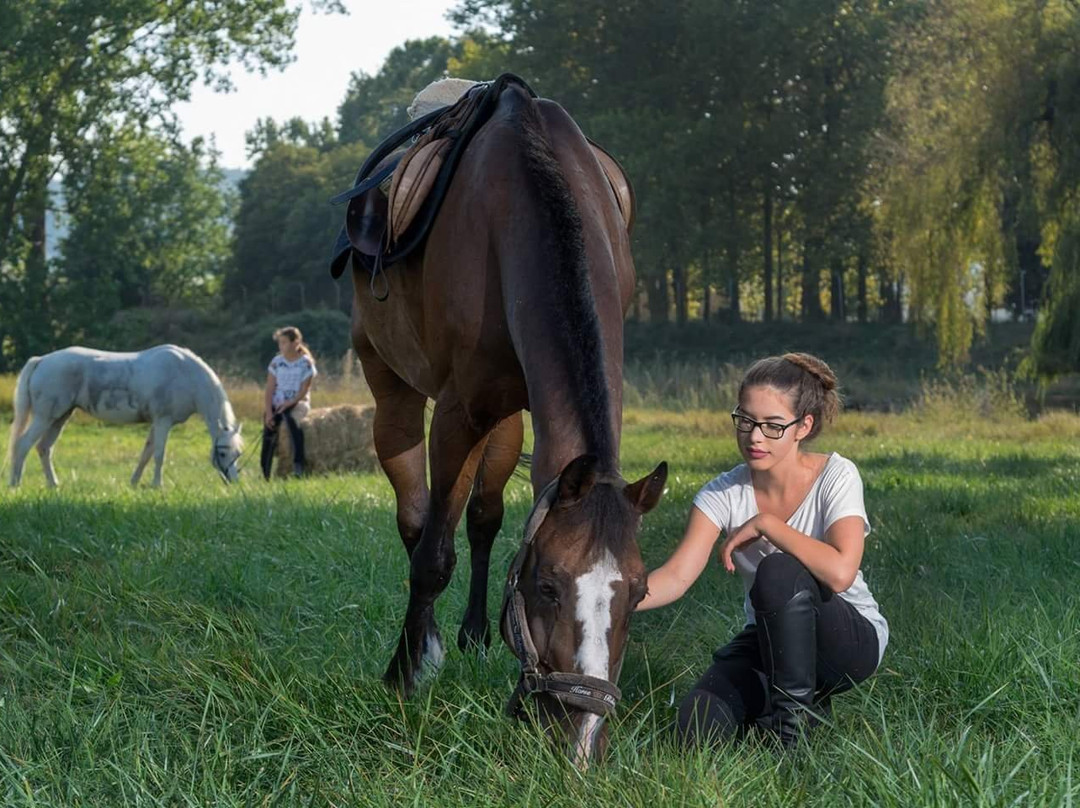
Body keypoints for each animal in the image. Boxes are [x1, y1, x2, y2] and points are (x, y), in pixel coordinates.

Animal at [6, 345, 244, 488]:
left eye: (238, 453)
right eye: (222, 453)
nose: (233, 481)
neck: (185, 375)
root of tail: (42, 360)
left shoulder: (155, 424)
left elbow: (146, 453)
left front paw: (134, 482)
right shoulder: (163, 421)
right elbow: (159, 454)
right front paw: (157, 485)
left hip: (60, 417)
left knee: (44, 448)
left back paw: (53, 484)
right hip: (44, 417)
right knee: (23, 444)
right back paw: (15, 484)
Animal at [345, 77, 665, 764]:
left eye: (639, 591)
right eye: (547, 586)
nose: (583, 738)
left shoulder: (507, 407)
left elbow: (482, 521)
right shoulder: (459, 411)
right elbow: (432, 554)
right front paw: (404, 674)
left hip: (509, 415)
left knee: (485, 517)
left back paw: (471, 633)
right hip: (390, 383)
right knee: (416, 514)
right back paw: (430, 641)